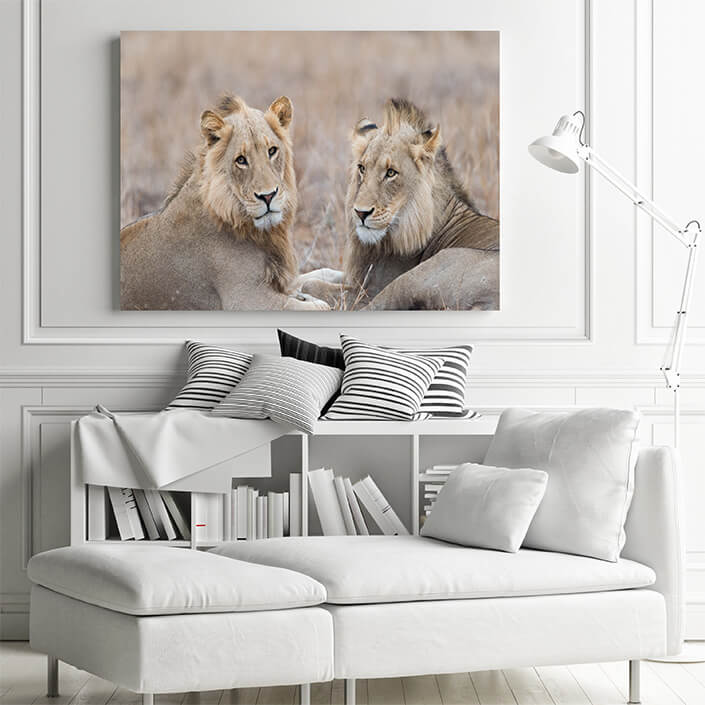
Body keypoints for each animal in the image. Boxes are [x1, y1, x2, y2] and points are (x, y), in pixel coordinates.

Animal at [120, 94, 329, 311]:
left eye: (272, 151)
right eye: (241, 160)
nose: (268, 196)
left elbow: (318, 273)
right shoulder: (246, 299)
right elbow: (320, 305)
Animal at [303, 98, 499, 310]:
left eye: (391, 173)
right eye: (362, 168)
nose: (360, 213)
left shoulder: (368, 289)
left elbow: (312, 283)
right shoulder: (358, 276)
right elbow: (321, 272)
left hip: (415, 276)